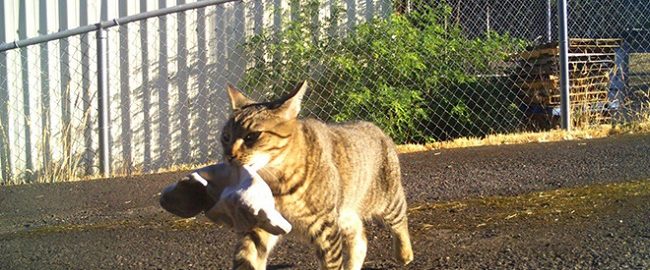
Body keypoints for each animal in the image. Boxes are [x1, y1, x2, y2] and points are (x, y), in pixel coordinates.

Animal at [220, 81, 412, 270]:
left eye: (252, 136)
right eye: (225, 137)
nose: (229, 155)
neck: (276, 183)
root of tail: (376, 127)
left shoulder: (325, 227)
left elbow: (332, 263)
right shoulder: (261, 223)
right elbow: (246, 257)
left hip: (386, 200)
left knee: (400, 219)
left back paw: (404, 254)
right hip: (345, 214)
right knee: (360, 239)